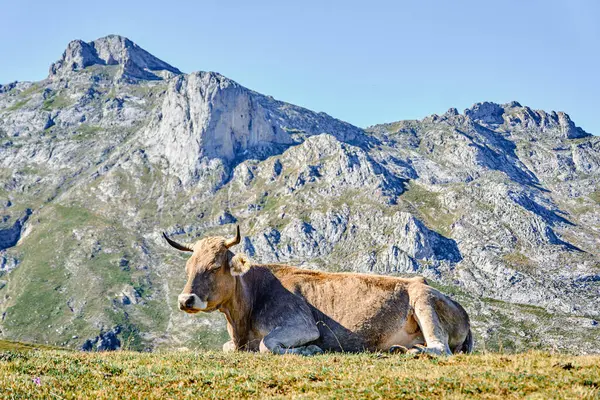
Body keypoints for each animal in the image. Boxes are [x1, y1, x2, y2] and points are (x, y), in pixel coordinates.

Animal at [164, 225, 474, 356]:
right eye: (188, 267)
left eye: (215, 266)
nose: (185, 299)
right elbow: (227, 348)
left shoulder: (301, 324)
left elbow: (267, 345)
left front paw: (310, 349)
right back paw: (400, 349)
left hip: (423, 300)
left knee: (441, 348)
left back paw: (412, 352)